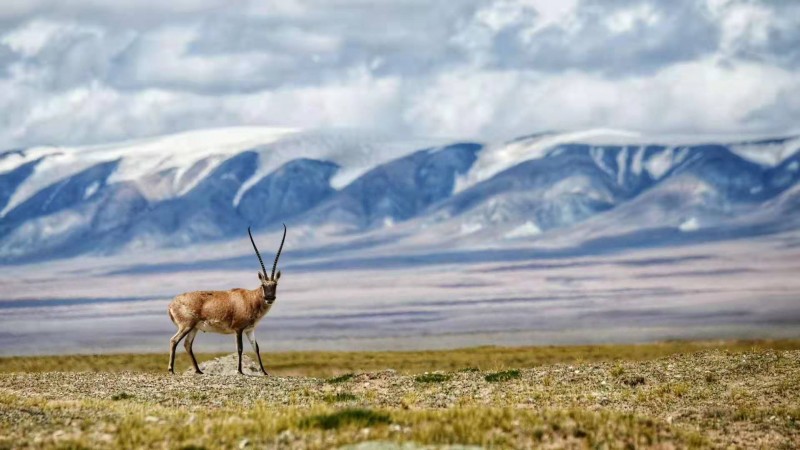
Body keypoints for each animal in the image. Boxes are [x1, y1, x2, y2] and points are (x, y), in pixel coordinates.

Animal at [166, 223, 288, 374]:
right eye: (263, 285)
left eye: (275, 284)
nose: (269, 298)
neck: (251, 298)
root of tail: (172, 304)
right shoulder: (238, 329)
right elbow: (240, 348)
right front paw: (240, 371)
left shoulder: (250, 330)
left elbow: (256, 348)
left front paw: (264, 372)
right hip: (186, 326)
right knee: (174, 340)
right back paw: (171, 370)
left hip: (193, 328)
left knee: (187, 344)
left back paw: (199, 371)